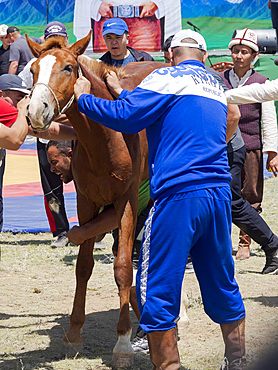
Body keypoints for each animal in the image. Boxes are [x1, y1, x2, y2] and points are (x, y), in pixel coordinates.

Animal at [25, 31, 165, 368]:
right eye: (33, 70)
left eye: (68, 67)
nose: (35, 111)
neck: (108, 138)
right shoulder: (87, 200)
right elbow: (83, 266)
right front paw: (74, 334)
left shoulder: (127, 201)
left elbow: (124, 268)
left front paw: (123, 343)